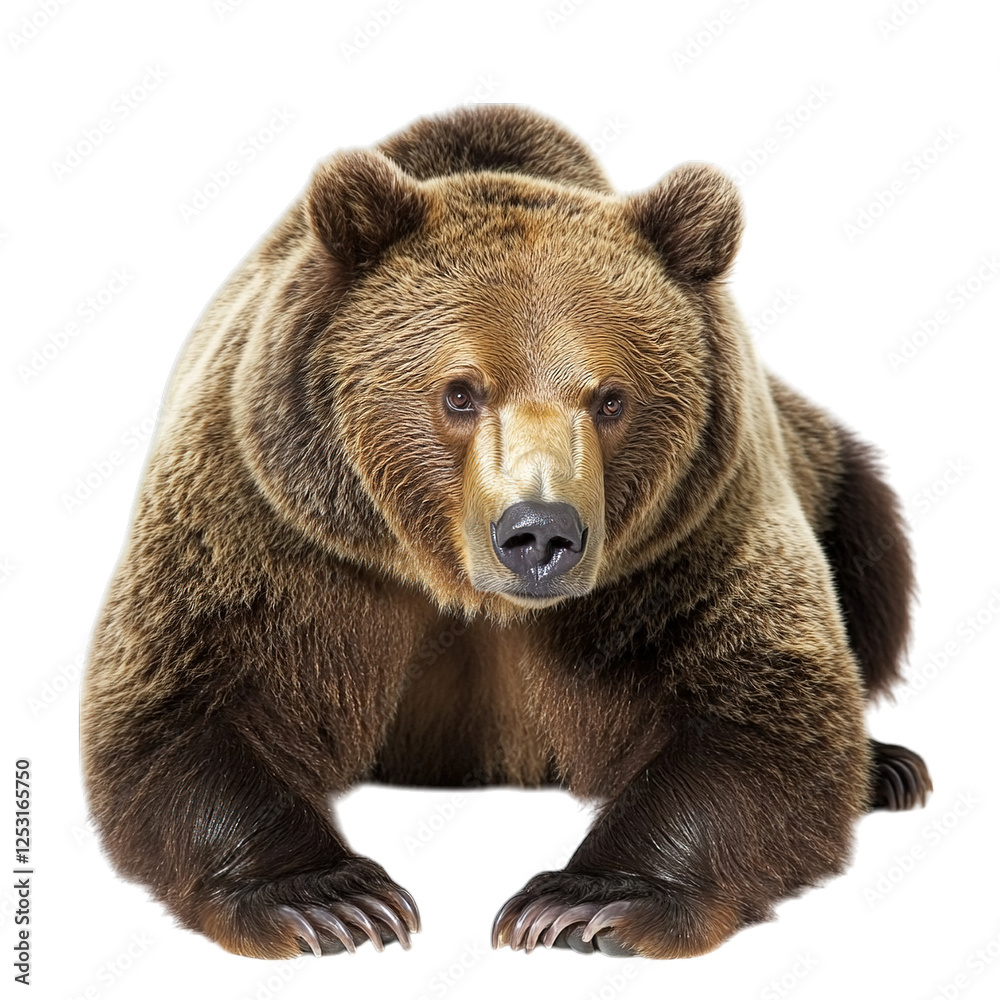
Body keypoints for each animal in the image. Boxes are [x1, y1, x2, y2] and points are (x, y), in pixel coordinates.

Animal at [81, 104, 932, 960]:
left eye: (612, 398)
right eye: (460, 392)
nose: (540, 533)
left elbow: (761, 708)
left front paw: (583, 902)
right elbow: (188, 702)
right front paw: (333, 900)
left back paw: (889, 767)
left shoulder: (683, 537)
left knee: (873, 557)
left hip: (829, 476)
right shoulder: (275, 516)